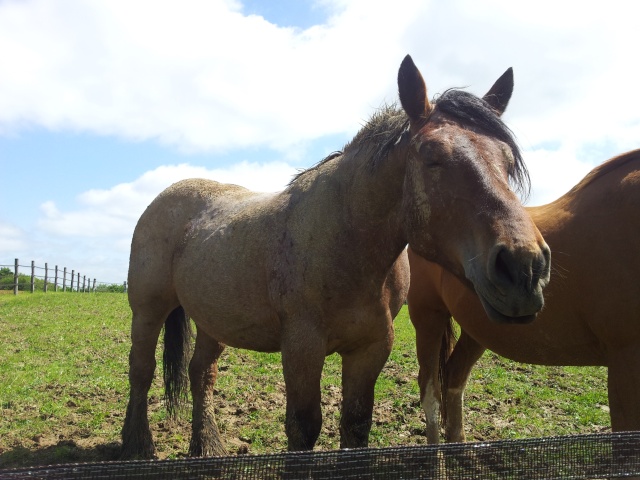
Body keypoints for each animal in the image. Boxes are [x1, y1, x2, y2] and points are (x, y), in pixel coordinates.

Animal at [120, 54, 552, 460]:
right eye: (433, 157)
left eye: (507, 162)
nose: (524, 268)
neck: (347, 242)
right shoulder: (301, 347)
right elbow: (303, 427)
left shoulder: (370, 349)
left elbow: (356, 425)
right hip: (148, 310)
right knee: (142, 371)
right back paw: (137, 446)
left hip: (213, 319)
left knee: (200, 374)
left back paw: (206, 447)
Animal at [408, 149, 640, 442]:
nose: (527, 272)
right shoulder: (626, 360)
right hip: (427, 317)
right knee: (430, 391)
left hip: (479, 329)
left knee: (454, 376)